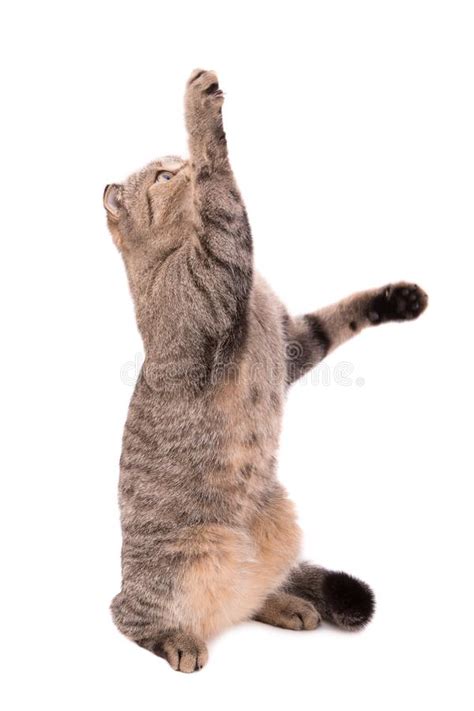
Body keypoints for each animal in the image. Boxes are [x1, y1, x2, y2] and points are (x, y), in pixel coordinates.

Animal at [104, 69, 430, 676]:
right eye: (164, 175)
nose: (182, 167)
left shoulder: (293, 342)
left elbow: (339, 316)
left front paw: (396, 300)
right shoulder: (225, 253)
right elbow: (223, 182)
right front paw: (201, 111)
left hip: (279, 526)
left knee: (246, 596)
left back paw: (284, 603)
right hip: (185, 565)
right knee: (128, 616)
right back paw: (178, 639)